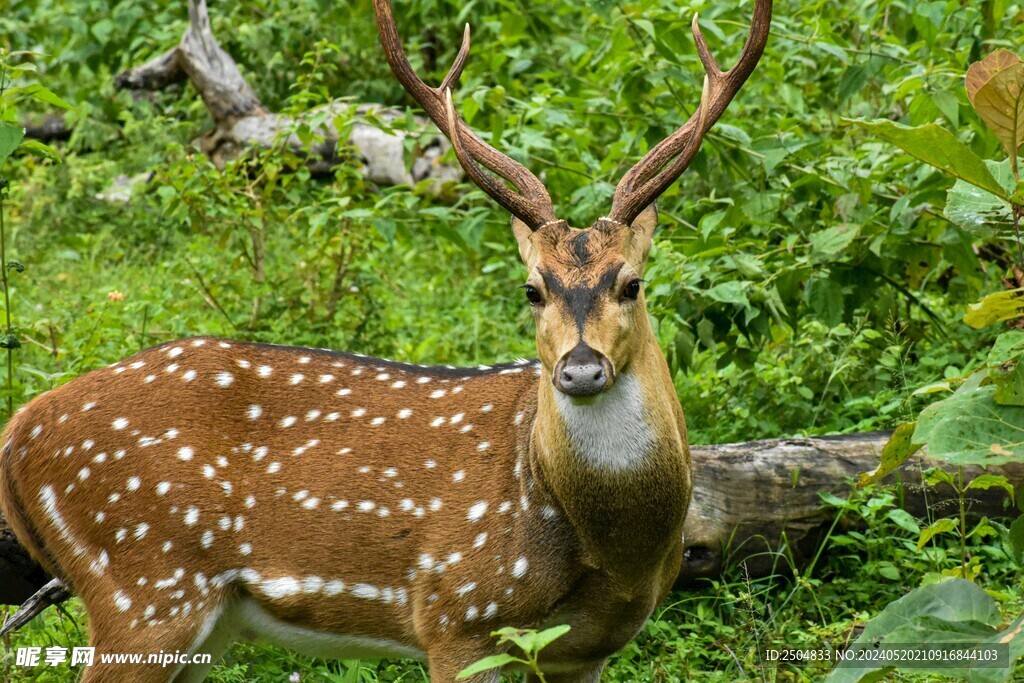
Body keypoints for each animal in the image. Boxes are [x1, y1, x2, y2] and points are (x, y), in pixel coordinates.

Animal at [0, 0, 771, 680]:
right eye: (532, 288)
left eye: (632, 283)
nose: (581, 370)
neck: (614, 550)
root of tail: (18, 430)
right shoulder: (457, 613)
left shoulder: (587, 650)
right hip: (143, 583)